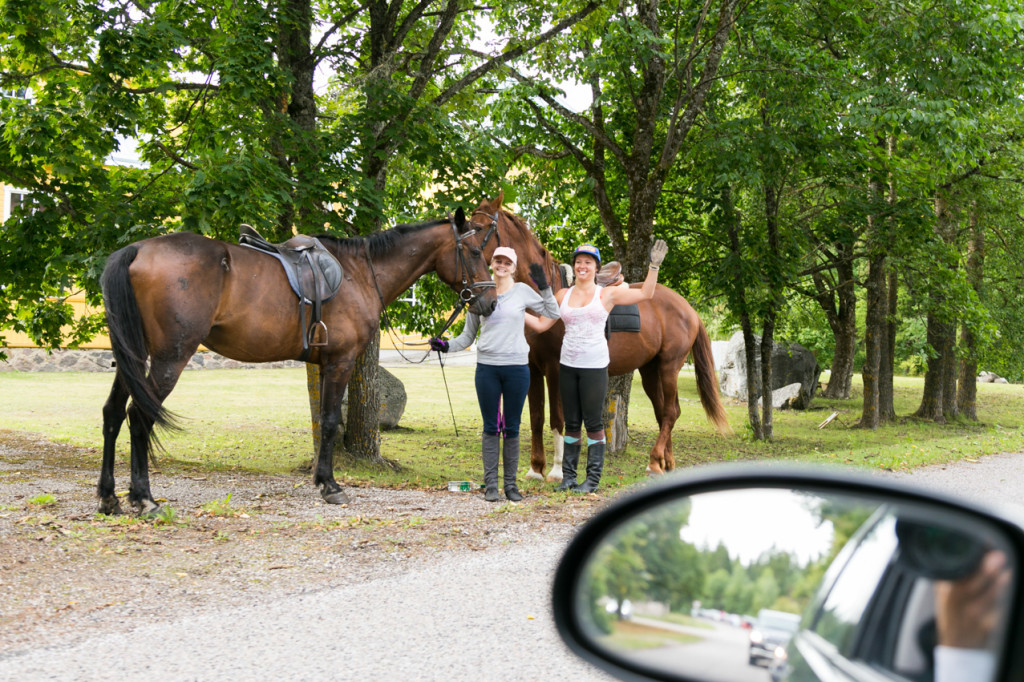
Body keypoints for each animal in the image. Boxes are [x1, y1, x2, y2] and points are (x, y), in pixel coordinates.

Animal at [97, 209, 497, 512]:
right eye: (474, 251)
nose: (489, 302)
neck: (360, 273)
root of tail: (136, 249)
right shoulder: (340, 361)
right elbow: (332, 421)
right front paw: (331, 485)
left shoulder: (325, 364)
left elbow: (323, 421)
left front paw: (321, 479)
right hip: (169, 358)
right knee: (139, 417)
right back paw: (143, 498)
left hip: (134, 357)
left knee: (113, 414)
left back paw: (108, 498)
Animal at [468, 191, 733, 477]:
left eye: (479, 228)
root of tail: (689, 310)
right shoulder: (533, 368)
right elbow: (537, 417)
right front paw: (535, 469)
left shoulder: (554, 368)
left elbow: (557, 418)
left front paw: (557, 471)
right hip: (651, 370)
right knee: (664, 411)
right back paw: (667, 463)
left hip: (669, 366)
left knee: (671, 412)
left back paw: (654, 461)